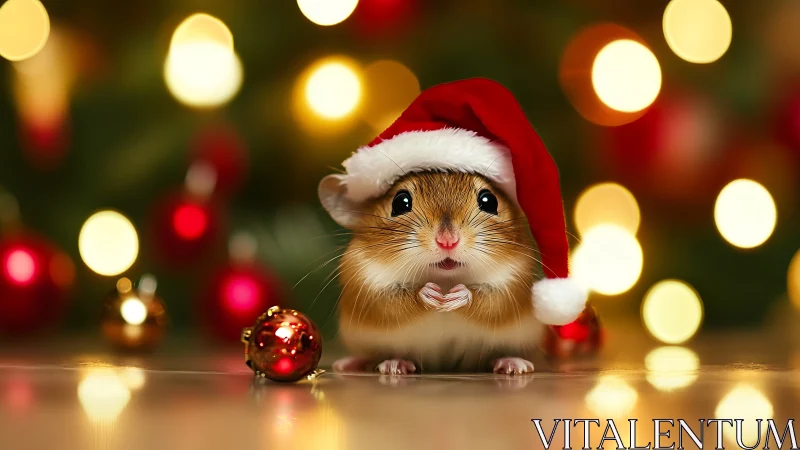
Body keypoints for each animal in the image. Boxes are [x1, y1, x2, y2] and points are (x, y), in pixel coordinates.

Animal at [323, 171, 546, 374]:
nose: (447, 241)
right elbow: (393, 302)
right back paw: (378, 364)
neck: (445, 278)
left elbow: (491, 301)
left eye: (489, 201)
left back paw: (513, 364)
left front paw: (455, 296)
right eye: (400, 203)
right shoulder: (367, 285)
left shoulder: (514, 284)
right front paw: (430, 294)